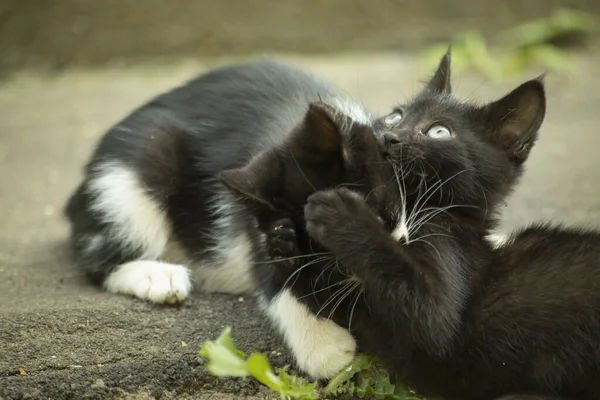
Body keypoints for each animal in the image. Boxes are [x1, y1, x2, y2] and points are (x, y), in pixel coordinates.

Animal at [231, 53, 600, 400]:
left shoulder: (444, 297)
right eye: (396, 115)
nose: (388, 135)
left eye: (439, 132)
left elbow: (427, 318)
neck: (442, 213)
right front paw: (282, 241)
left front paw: (338, 210)